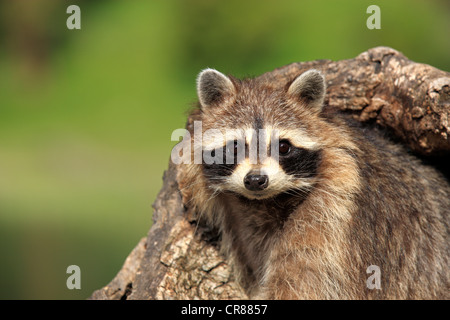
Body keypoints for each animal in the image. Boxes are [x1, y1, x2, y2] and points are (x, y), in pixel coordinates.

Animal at [177, 68, 450, 300]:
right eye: (234, 147)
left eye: (283, 147)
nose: (256, 180)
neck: (263, 204)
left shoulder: (333, 215)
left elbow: (304, 283)